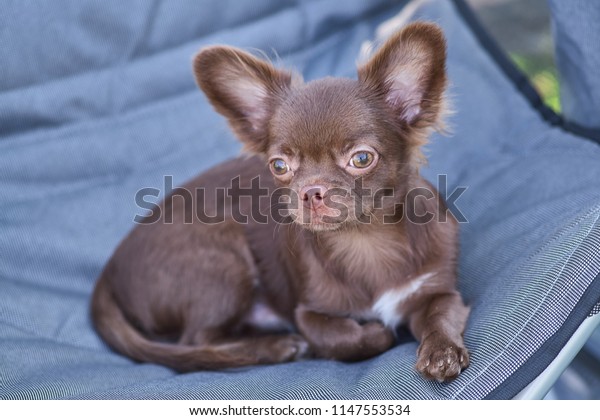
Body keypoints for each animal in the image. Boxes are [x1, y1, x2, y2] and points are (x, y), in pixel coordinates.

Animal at [92, 22, 468, 380]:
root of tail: (107, 273)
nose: (310, 191)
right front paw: (373, 333)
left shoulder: (438, 290)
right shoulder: (308, 313)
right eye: (279, 166)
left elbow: (441, 315)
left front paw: (442, 351)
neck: (365, 240)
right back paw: (279, 346)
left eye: (361, 159)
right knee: (197, 341)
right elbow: (346, 338)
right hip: (224, 259)